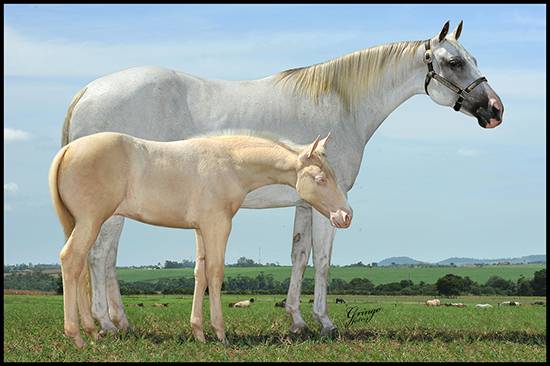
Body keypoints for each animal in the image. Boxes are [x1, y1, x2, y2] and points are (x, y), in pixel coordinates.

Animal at [50, 131, 354, 346]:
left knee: (79, 267)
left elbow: (200, 273)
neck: (230, 163)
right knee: (71, 259)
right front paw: (220, 333)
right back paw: (77, 335)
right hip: (91, 221)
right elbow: (215, 274)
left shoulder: (200, 229)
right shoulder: (217, 225)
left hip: (83, 224)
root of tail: (68, 149)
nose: (345, 216)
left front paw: (198, 331)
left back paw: (91, 331)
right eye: (320, 178)